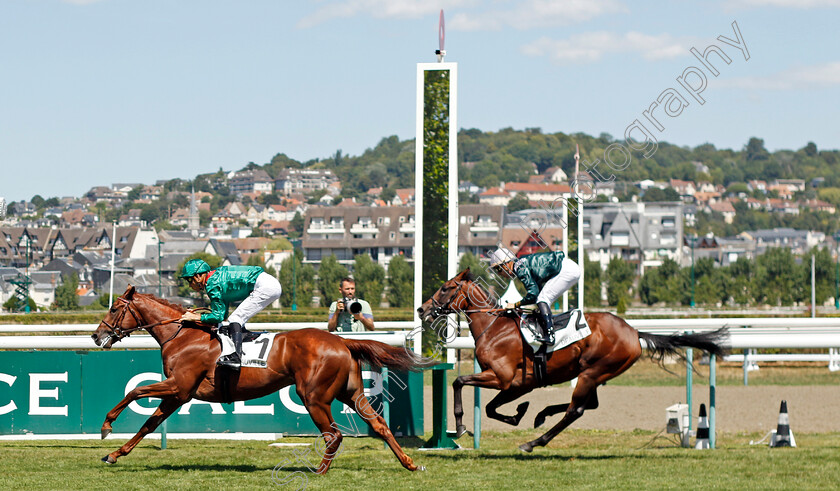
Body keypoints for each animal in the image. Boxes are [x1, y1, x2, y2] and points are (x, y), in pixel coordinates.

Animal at [92, 286, 434, 474]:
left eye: (114, 307)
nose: (96, 336)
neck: (182, 335)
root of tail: (341, 341)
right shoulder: (178, 394)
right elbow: (148, 425)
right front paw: (114, 455)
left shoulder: (179, 386)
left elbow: (135, 391)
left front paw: (106, 425)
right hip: (350, 393)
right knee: (379, 424)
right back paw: (409, 463)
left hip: (314, 397)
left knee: (334, 435)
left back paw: (319, 471)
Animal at [416, 270, 724, 454]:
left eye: (446, 288)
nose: (422, 309)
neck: (495, 327)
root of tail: (634, 332)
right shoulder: (518, 385)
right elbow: (491, 408)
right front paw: (520, 413)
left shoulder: (504, 379)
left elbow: (459, 382)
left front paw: (460, 426)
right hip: (593, 373)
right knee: (588, 405)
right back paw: (541, 415)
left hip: (592, 372)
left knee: (576, 410)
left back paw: (533, 442)